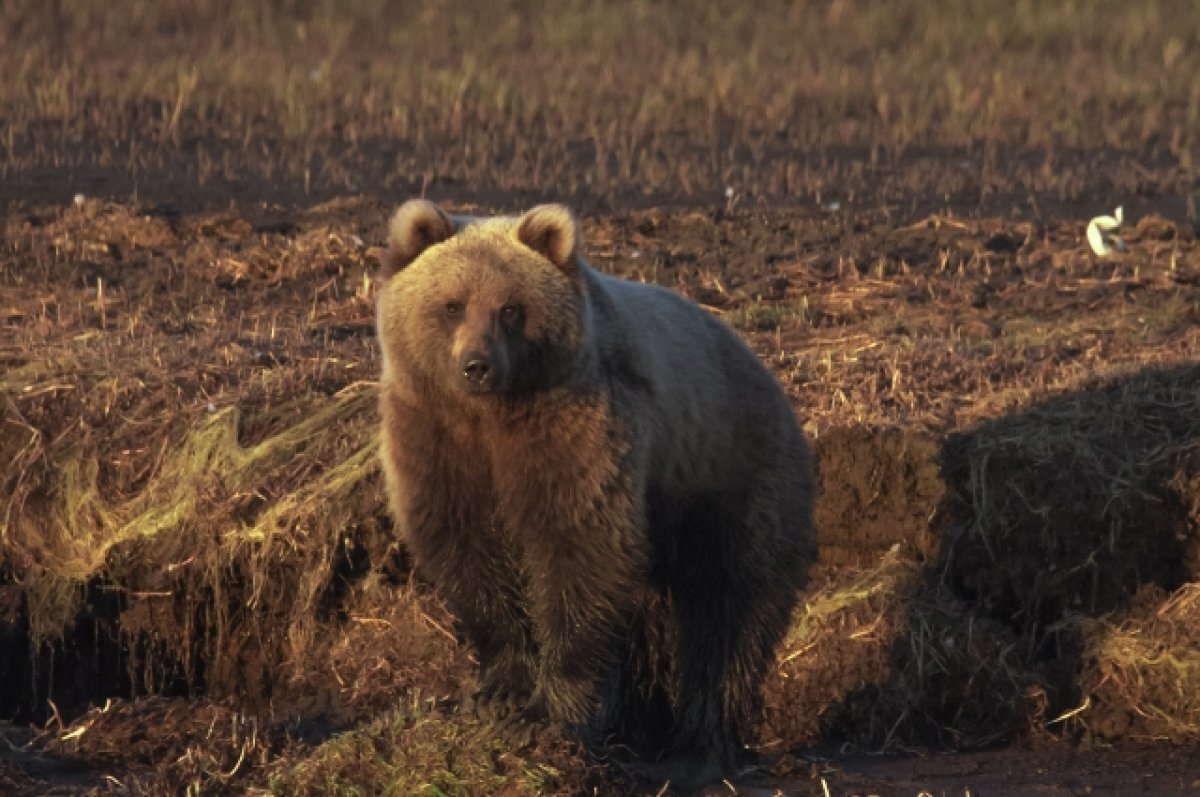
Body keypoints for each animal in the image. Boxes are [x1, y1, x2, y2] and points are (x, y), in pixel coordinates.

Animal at [374, 199, 816, 792]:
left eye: (511, 309)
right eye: (451, 304)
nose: (478, 365)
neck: (491, 417)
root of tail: (772, 383)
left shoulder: (577, 431)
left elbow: (581, 553)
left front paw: (546, 711)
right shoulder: (436, 440)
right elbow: (468, 556)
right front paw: (498, 694)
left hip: (733, 483)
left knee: (726, 615)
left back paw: (694, 748)